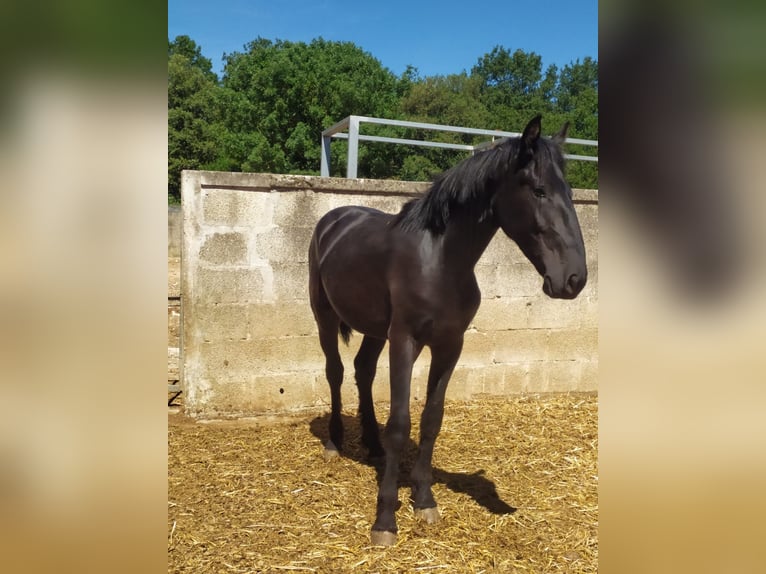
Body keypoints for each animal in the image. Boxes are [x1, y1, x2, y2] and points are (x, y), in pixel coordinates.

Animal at [308, 115, 587, 546]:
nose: (574, 279)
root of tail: (333, 219)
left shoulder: (449, 346)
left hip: (374, 330)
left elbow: (431, 420)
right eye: (538, 190)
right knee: (335, 371)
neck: (439, 260)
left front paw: (424, 500)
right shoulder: (404, 341)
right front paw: (385, 520)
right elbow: (401, 424)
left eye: (570, 192)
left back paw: (370, 443)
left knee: (362, 370)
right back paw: (335, 443)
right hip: (324, 316)